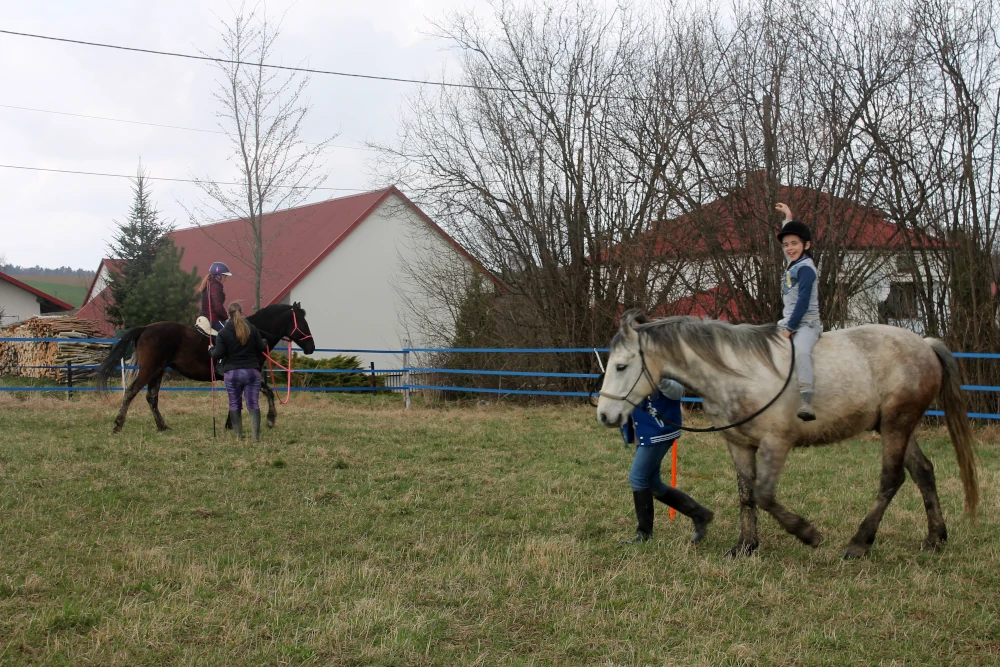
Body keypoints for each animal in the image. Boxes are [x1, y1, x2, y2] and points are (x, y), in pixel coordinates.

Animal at [96, 302, 316, 434]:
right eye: (303, 323)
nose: (311, 347)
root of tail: (146, 328)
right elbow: (268, 393)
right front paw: (270, 419)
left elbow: (237, 398)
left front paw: (230, 424)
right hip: (150, 369)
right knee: (131, 391)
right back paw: (118, 424)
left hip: (158, 371)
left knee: (151, 397)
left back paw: (162, 426)